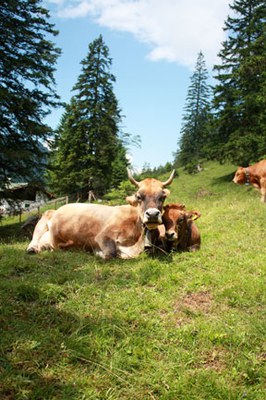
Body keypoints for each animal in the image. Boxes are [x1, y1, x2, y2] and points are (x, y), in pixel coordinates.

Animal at [26, 170, 175, 260]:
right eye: (139, 196)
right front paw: (99, 253)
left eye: (163, 197)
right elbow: (111, 253)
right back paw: (32, 249)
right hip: (45, 217)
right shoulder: (102, 236)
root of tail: (56, 210)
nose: (152, 214)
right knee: (35, 238)